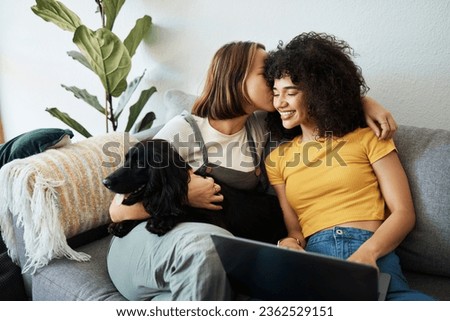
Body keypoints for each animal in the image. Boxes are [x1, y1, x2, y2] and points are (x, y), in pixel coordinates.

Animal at [102, 138, 284, 242]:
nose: (105, 182)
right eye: (126, 160)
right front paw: (121, 224)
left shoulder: (215, 222)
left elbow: (183, 212)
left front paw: (161, 221)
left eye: (139, 164)